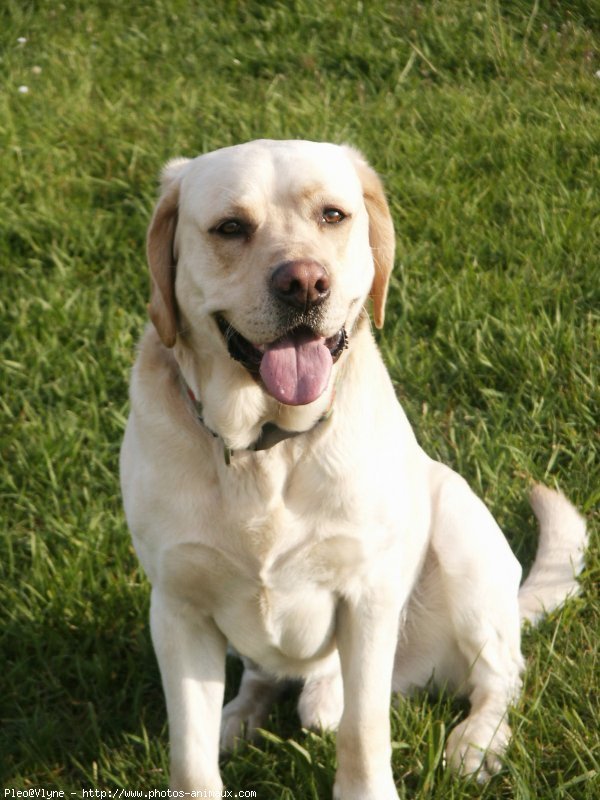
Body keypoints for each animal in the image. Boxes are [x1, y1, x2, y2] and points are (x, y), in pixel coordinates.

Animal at [119, 141, 588, 796]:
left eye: (333, 215)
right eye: (230, 227)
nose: (304, 283)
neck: (266, 447)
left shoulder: (366, 598)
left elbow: (363, 732)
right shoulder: (177, 609)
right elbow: (189, 758)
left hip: (461, 532)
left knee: (500, 674)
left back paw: (476, 742)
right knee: (263, 677)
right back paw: (238, 717)